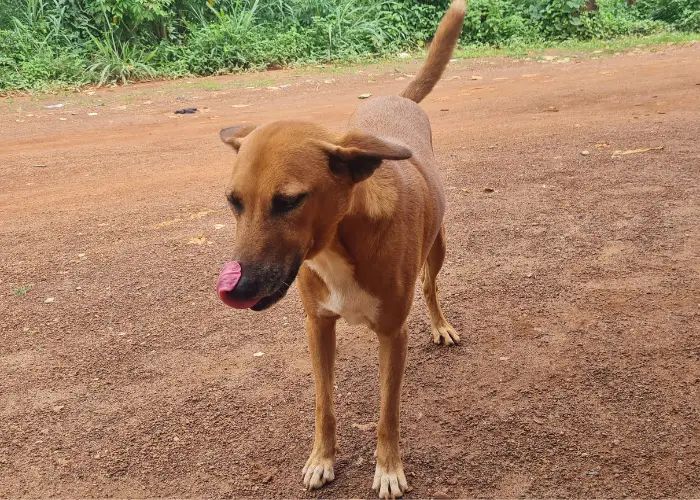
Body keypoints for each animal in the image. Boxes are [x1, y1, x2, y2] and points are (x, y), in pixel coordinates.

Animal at [219, 2, 468, 496]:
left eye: (289, 201)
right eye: (233, 201)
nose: (237, 288)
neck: (341, 245)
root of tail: (395, 97)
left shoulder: (393, 334)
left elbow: (387, 413)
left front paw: (389, 468)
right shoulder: (317, 327)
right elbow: (324, 405)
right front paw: (322, 459)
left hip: (439, 246)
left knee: (430, 286)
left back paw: (441, 325)